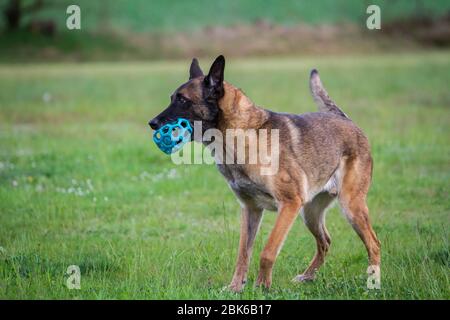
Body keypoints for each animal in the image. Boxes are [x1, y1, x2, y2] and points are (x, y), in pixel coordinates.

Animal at [150, 55, 380, 292]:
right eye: (172, 98)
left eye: (183, 100)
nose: (152, 124)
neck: (241, 134)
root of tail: (345, 119)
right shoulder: (251, 210)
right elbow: (243, 254)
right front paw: (236, 287)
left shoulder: (289, 204)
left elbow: (267, 251)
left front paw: (262, 286)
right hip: (310, 214)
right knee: (325, 241)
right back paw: (307, 277)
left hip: (350, 206)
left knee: (374, 243)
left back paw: (373, 283)